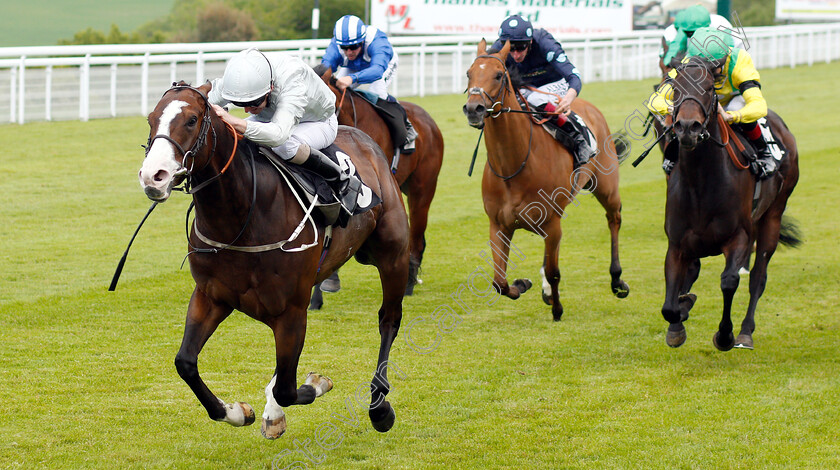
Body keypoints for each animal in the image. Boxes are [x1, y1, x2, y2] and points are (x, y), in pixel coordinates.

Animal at [137, 82, 406, 438]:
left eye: (192, 120)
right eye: (151, 118)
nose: (153, 176)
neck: (241, 219)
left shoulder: (290, 311)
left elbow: (288, 390)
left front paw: (314, 384)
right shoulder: (211, 296)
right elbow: (185, 363)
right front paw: (237, 411)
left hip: (392, 255)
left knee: (388, 320)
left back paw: (379, 406)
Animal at [460, 40, 632, 322]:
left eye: (498, 75)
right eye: (468, 74)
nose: (473, 108)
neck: (515, 165)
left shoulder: (552, 222)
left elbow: (554, 272)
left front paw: (557, 309)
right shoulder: (498, 225)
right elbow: (499, 282)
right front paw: (523, 284)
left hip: (606, 187)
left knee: (614, 219)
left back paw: (617, 280)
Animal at [664, 58, 800, 350]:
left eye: (708, 88)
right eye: (675, 89)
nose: (687, 127)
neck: (701, 184)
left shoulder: (739, 236)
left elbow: (729, 281)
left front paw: (724, 335)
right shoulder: (677, 243)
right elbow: (671, 302)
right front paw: (678, 321)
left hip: (773, 215)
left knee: (758, 276)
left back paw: (746, 332)